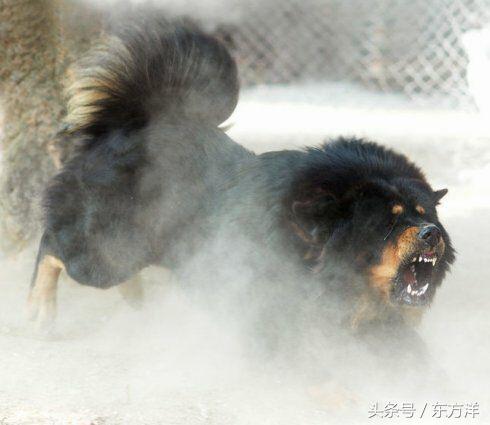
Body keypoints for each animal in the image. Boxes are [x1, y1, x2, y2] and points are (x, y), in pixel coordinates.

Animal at [27, 14, 456, 344]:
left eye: (424, 214)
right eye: (387, 221)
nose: (430, 233)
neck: (310, 246)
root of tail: (130, 123)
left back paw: (135, 300)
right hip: (107, 251)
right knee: (52, 246)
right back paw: (40, 312)